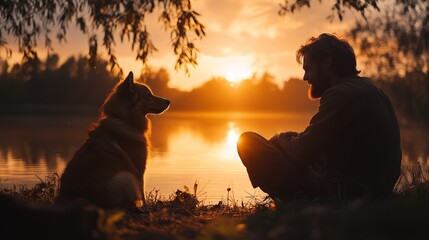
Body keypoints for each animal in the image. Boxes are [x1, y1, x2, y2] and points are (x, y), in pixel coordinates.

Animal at [56, 71, 170, 208]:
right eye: (148, 95)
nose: (169, 101)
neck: (124, 120)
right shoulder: (138, 169)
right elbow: (142, 192)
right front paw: (146, 207)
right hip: (126, 177)